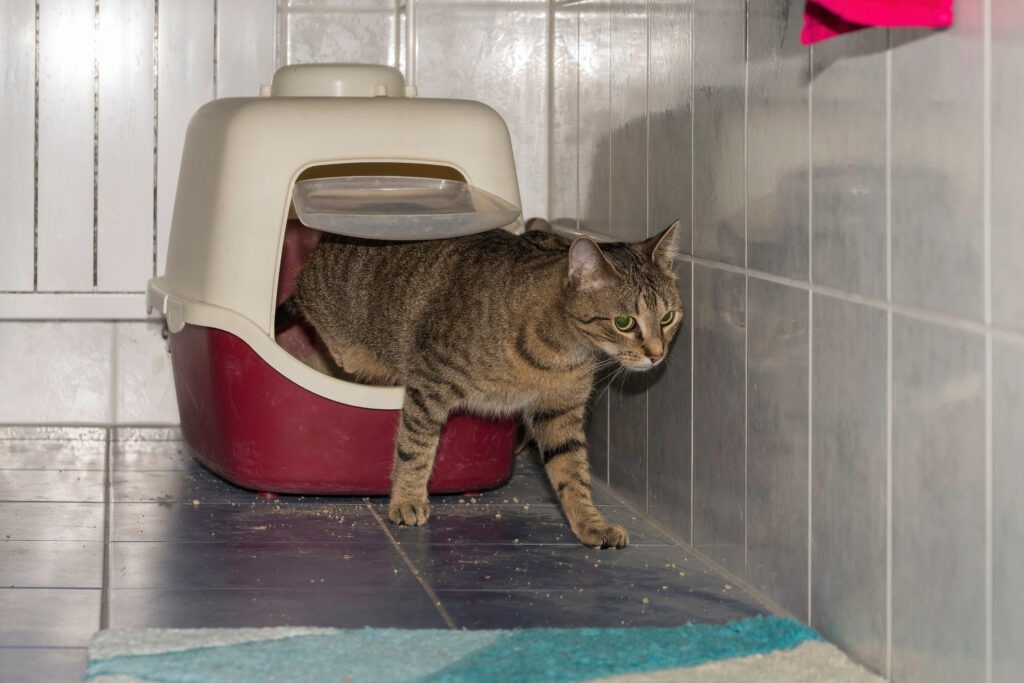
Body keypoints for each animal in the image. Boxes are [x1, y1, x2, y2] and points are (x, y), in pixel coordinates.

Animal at [292, 219, 684, 548]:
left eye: (668, 317)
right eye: (624, 322)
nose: (657, 354)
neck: (562, 350)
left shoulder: (561, 410)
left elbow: (572, 470)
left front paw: (590, 522)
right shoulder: (429, 381)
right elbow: (415, 447)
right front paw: (407, 499)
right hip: (344, 339)